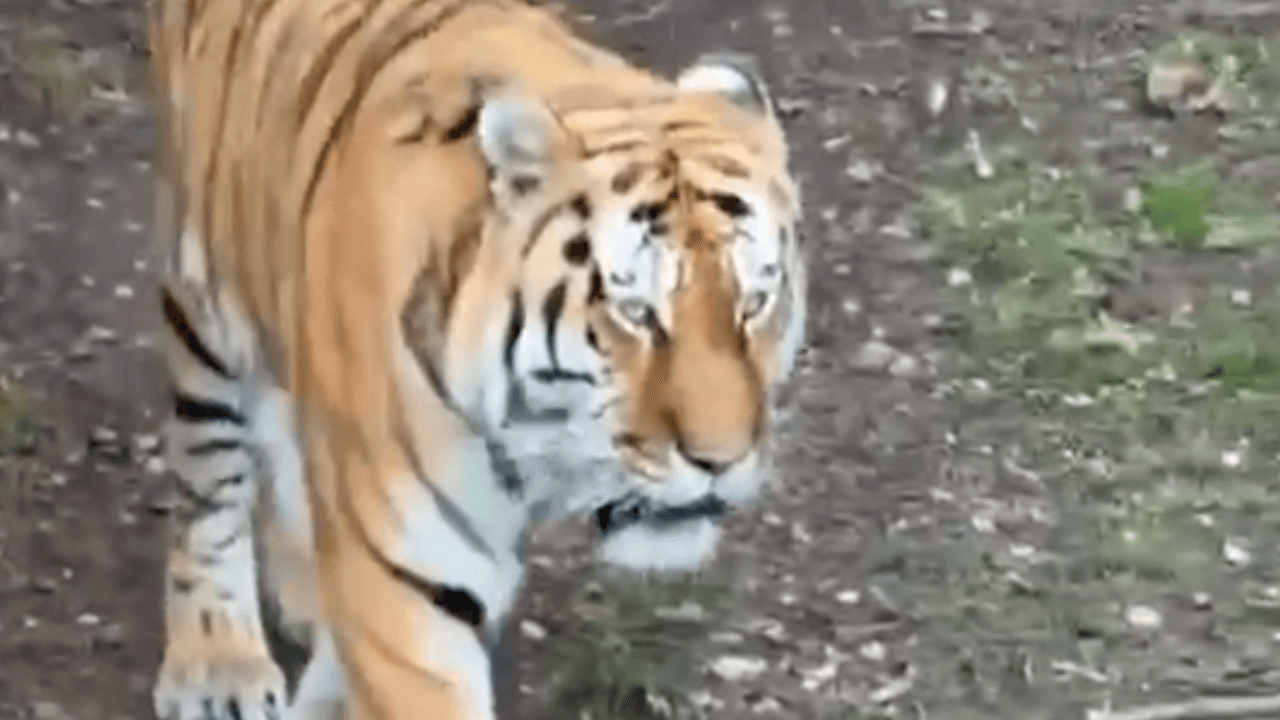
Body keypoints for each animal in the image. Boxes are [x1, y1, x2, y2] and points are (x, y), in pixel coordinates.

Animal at [144, 0, 806, 718]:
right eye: (635, 313)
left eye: (755, 302)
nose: (721, 461)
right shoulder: (411, 584)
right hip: (202, 291)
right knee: (209, 477)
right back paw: (219, 663)